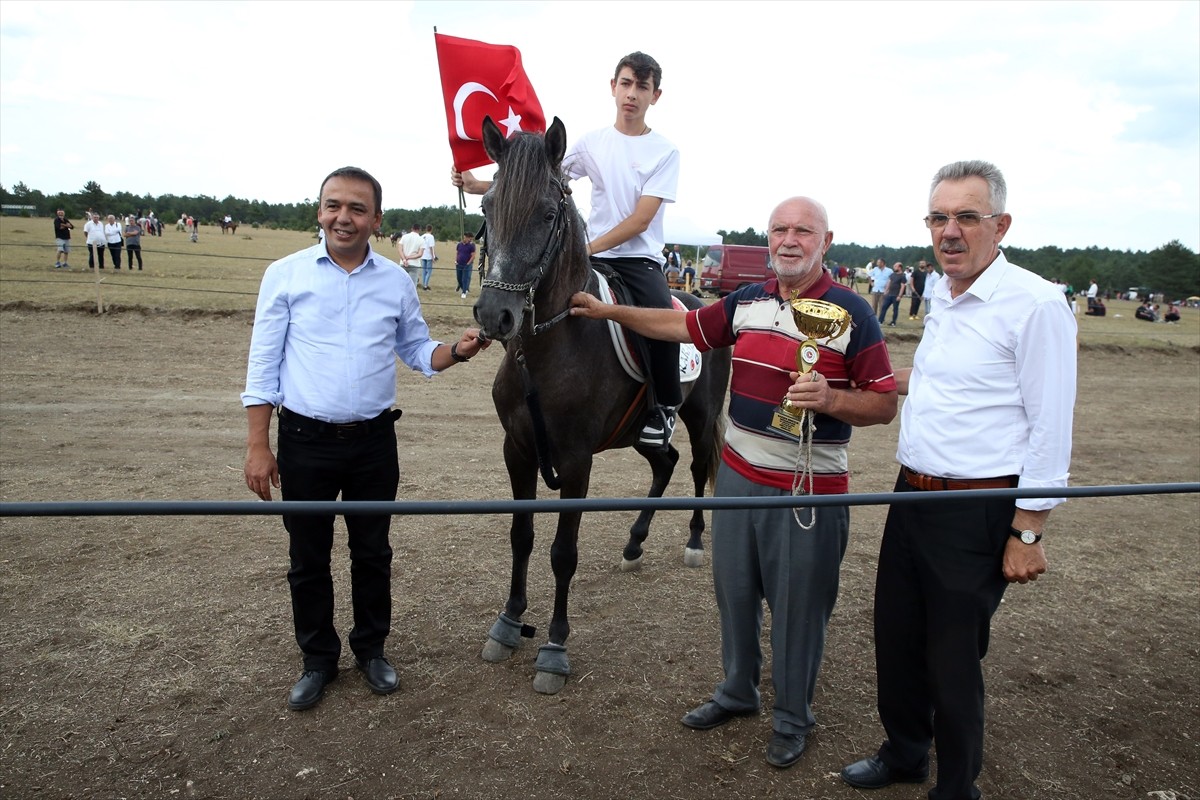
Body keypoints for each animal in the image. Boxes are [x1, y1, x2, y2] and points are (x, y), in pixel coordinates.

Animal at [468, 115, 729, 695]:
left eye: (547, 213)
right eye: (486, 206)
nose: (496, 315)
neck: (549, 345)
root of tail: (704, 304)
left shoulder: (576, 461)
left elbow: (562, 554)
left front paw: (553, 649)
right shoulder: (517, 450)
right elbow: (521, 536)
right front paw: (507, 623)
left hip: (700, 418)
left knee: (698, 466)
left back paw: (696, 542)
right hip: (640, 432)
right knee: (666, 462)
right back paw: (634, 545)